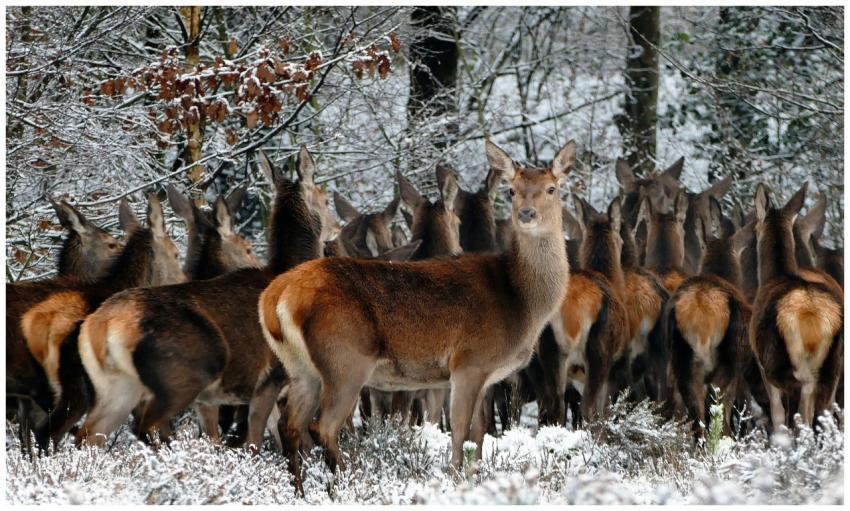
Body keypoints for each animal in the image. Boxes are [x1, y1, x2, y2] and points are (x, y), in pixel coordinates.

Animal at [73, 147, 334, 452]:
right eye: (326, 199)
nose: (337, 228)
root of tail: (103, 323)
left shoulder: (214, 400)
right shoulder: (270, 378)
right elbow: (255, 441)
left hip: (115, 386)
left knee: (87, 436)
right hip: (184, 373)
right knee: (147, 426)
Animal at [260, 139, 574, 492]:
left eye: (551, 188)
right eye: (512, 190)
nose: (526, 214)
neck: (521, 301)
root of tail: (275, 296)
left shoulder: (486, 373)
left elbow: (479, 434)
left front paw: (477, 479)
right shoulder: (469, 361)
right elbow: (459, 431)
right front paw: (456, 480)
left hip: (301, 368)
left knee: (290, 425)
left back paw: (301, 489)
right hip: (345, 358)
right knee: (321, 426)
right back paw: (349, 482)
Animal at [749, 183, 843, 431]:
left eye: (755, 227)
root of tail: (814, 323)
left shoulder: (763, 366)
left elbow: (777, 414)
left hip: (790, 367)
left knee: (800, 418)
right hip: (833, 368)